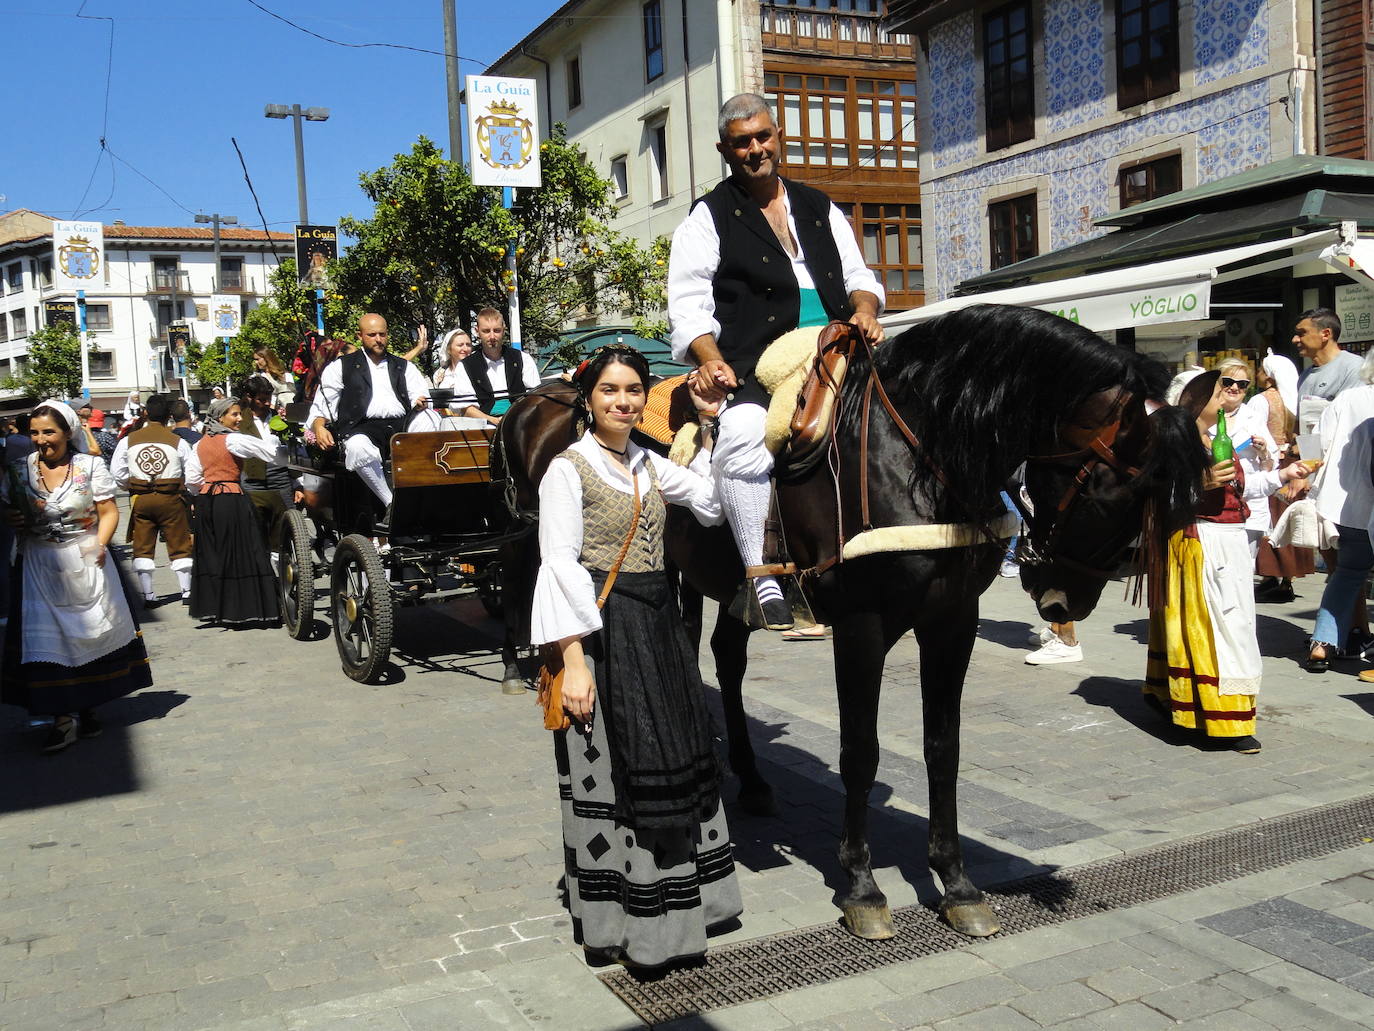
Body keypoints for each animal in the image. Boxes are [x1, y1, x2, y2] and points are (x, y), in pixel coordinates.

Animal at [494, 302, 1203, 940]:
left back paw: (751, 779)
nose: (1062, 600)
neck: (917, 455)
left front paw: (957, 882)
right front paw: (862, 885)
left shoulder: (953, 621)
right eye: (1117, 491)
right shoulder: (863, 627)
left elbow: (942, 747)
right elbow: (860, 750)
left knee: (726, 657)